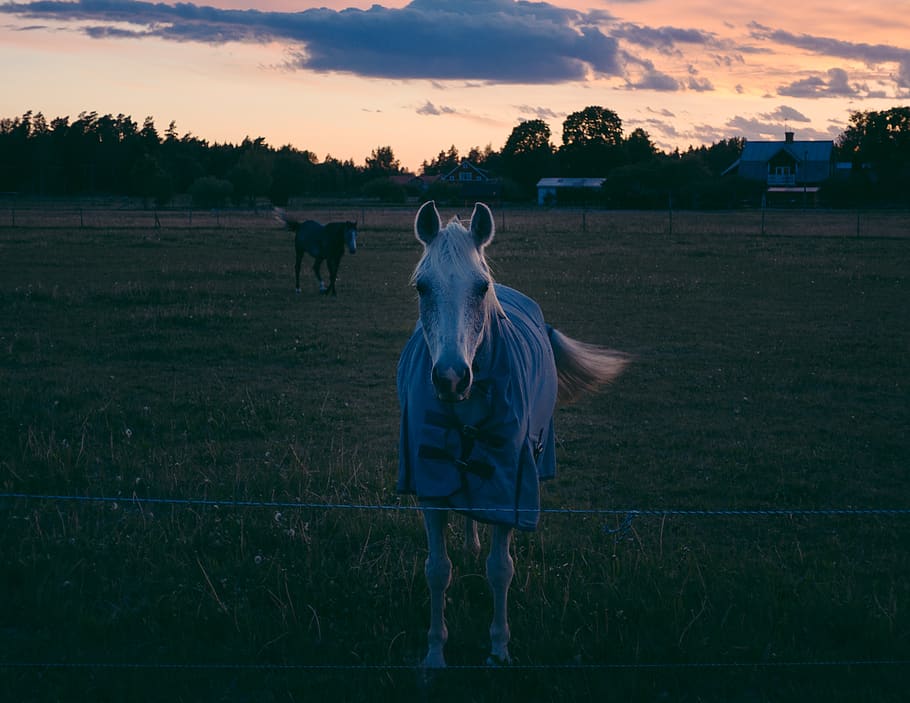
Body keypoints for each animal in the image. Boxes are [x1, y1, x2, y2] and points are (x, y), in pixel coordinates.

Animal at [397, 201, 628, 668]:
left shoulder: (509, 487)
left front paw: (499, 649)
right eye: (422, 288)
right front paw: (435, 653)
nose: (451, 377)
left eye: (481, 287)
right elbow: (437, 570)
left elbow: (500, 569)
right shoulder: (431, 486)